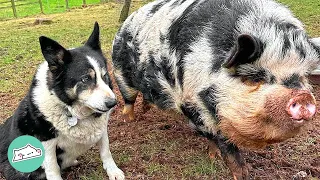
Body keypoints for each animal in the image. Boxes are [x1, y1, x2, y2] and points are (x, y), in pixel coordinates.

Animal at [0, 22, 124, 180]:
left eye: (105, 76)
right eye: (85, 79)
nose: (112, 103)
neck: (70, 109)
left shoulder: (102, 130)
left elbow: (106, 151)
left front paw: (113, 171)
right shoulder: (46, 143)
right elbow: (53, 169)